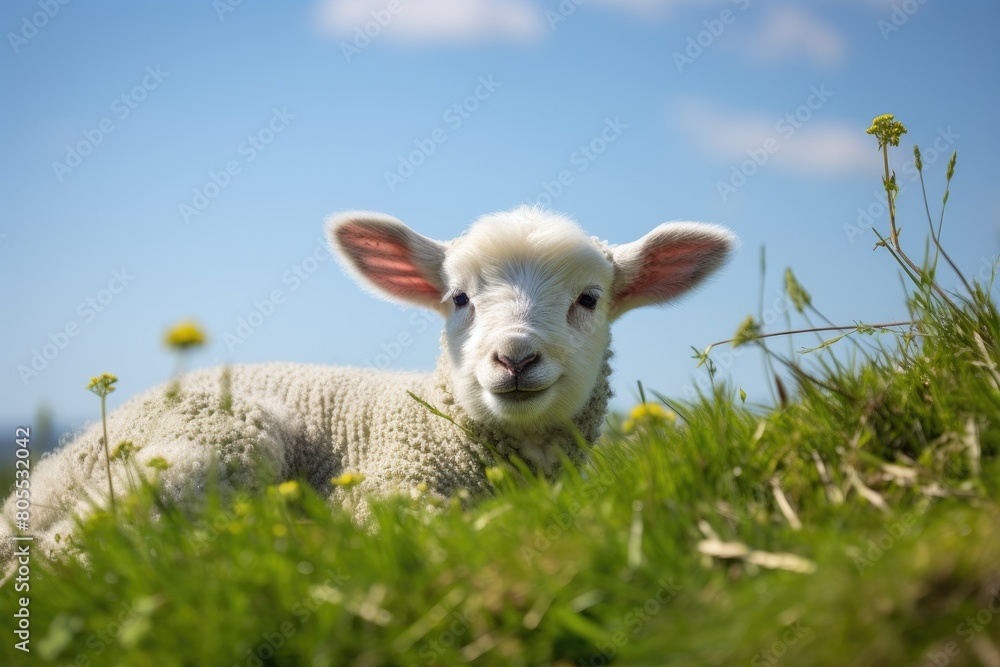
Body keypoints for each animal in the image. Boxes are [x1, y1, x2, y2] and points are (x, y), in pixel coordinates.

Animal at [0, 206, 736, 560]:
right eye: (457, 298)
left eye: (589, 299)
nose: (515, 359)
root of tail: (54, 472)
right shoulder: (387, 487)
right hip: (220, 438)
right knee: (76, 549)